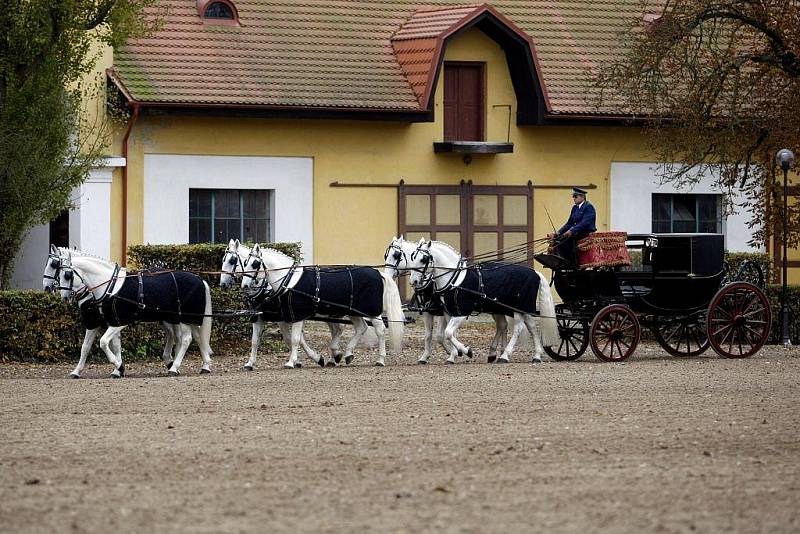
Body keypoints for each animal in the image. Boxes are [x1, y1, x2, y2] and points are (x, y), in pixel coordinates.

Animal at [51, 250, 214, 376]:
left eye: (67, 275)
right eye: (58, 273)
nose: (64, 297)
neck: (110, 286)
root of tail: (199, 279)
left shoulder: (119, 322)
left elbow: (103, 342)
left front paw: (118, 365)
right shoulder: (106, 322)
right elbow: (91, 346)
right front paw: (78, 371)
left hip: (185, 318)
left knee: (186, 339)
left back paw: (174, 367)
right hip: (183, 318)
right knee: (196, 337)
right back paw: (204, 365)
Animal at [219, 241, 344, 370]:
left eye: (232, 260)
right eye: (223, 259)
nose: (222, 283)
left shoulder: (283, 317)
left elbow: (293, 339)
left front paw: (309, 359)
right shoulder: (258, 316)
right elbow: (254, 340)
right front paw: (250, 363)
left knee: (339, 328)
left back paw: (338, 355)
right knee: (337, 329)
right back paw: (334, 357)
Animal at [241, 246, 404, 368]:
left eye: (255, 264)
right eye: (245, 262)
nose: (244, 285)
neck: (289, 281)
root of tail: (378, 273)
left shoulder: (298, 315)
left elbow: (294, 339)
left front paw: (291, 362)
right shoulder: (282, 316)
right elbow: (260, 340)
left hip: (371, 311)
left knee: (380, 330)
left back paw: (380, 359)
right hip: (353, 311)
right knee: (361, 328)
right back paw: (347, 354)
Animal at [386, 237, 510, 366]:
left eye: (396, 255)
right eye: (386, 255)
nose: (414, 281)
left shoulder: (444, 312)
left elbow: (443, 334)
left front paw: (456, 353)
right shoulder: (429, 312)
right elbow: (430, 335)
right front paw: (427, 356)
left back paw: (504, 354)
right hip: (495, 309)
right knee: (502, 325)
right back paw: (496, 353)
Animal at [406, 242, 556, 364]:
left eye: (423, 259)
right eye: (413, 257)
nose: (413, 281)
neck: (454, 280)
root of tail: (535, 272)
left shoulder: (461, 313)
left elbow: (448, 333)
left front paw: (466, 351)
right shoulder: (448, 312)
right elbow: (446, 335)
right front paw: (453, 355)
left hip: (517, 308)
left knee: (518, 329)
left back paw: (505, 355)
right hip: (518, 308)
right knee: (530, 326)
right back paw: (536, 355)